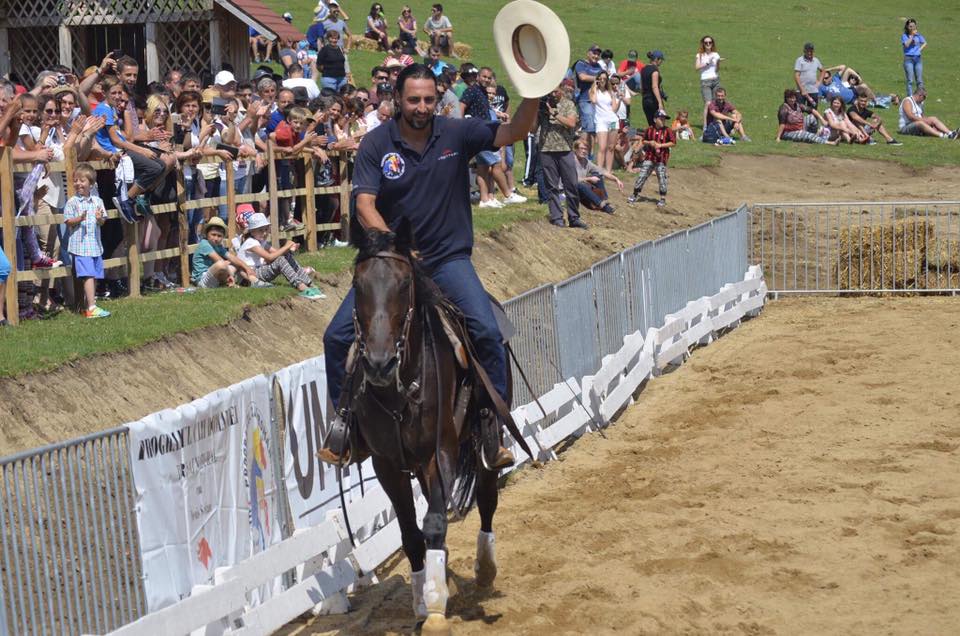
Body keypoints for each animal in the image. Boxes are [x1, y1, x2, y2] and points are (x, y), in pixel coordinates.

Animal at [346, 222, 510, 632]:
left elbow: (434, 522)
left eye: (405, 282)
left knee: (487, 497)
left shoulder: (443, 452)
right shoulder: (387, 464)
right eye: (358, 283)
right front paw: (422, 600)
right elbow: (411, 533)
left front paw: (435, 608)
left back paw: (485, 568)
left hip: (481, 442)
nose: (379, 363)